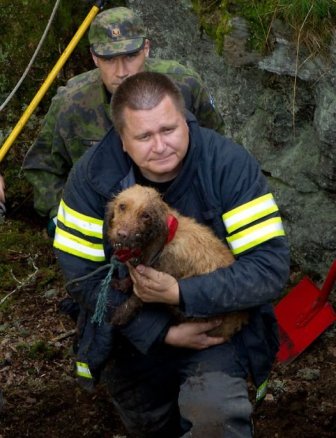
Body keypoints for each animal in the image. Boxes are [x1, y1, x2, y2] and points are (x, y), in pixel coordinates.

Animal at [106, 183, 248, 340]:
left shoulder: (152, 282)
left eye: (146, 216)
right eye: (122, 206)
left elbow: (135, 298)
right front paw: (121, 284)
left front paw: (120, 315)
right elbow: (130, 279)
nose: (122, 235)